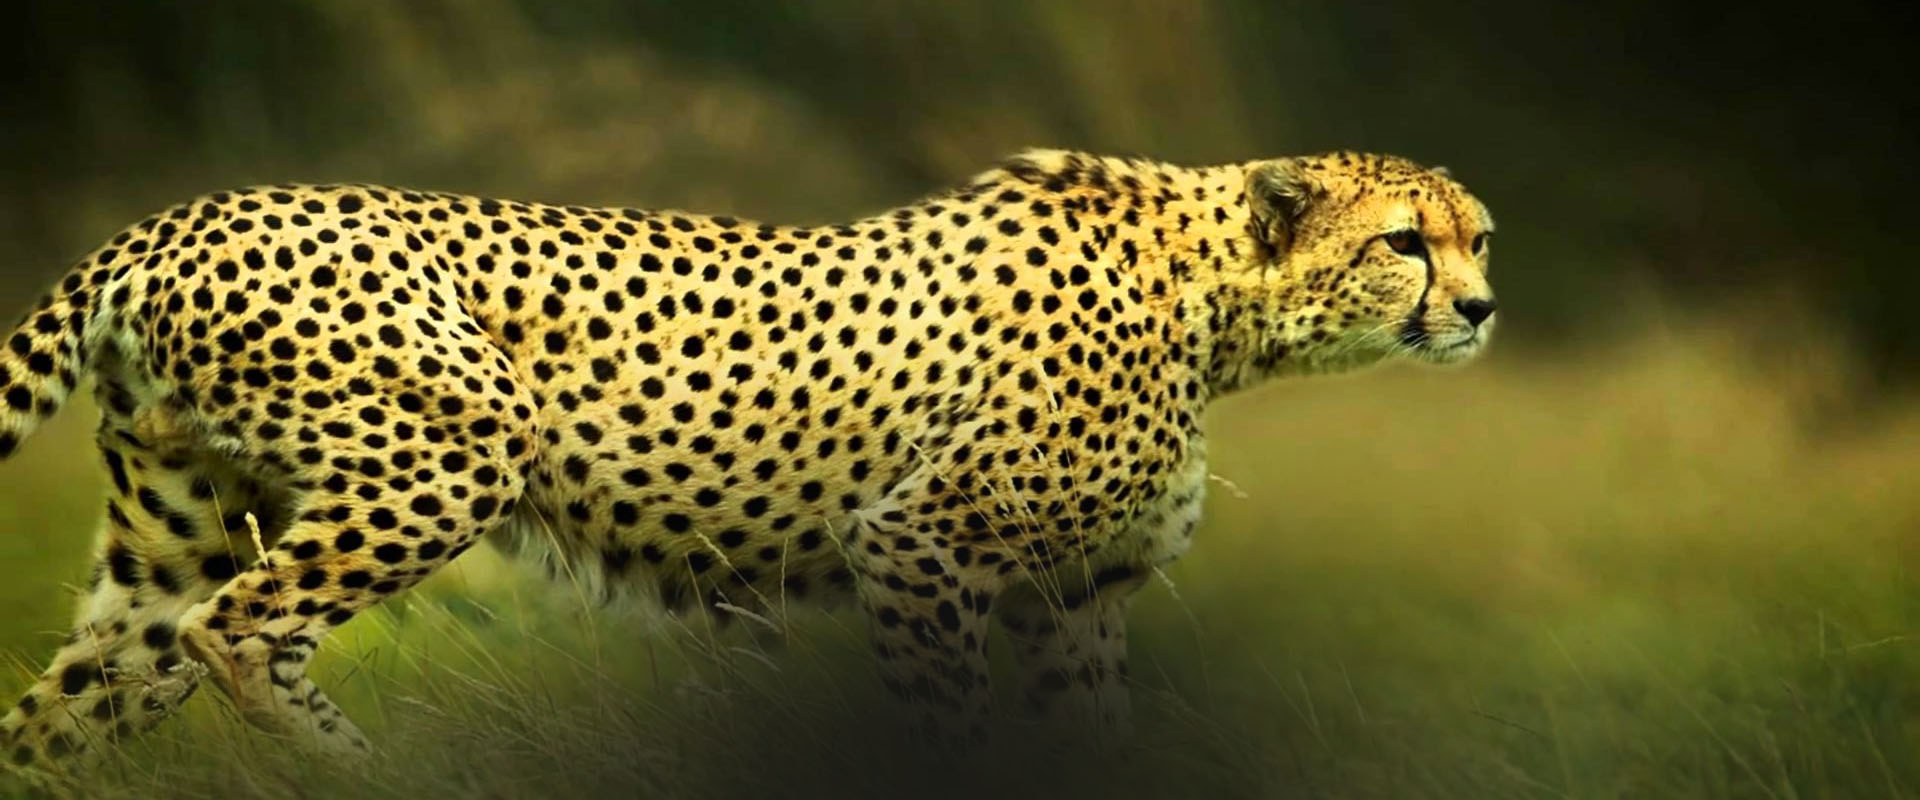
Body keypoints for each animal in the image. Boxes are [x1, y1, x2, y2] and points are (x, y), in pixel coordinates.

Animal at [0, 148, 1494, 774]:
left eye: (1478, 236)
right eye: (1404, 243)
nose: (1482, 308)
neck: (1215, 301)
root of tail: (181, 213)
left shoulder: (1078, 599)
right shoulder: (920, 546)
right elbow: (950, 726)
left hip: (173, 532)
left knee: (67, 703)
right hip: (453, 451)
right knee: (241, 629)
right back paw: (369, 769)